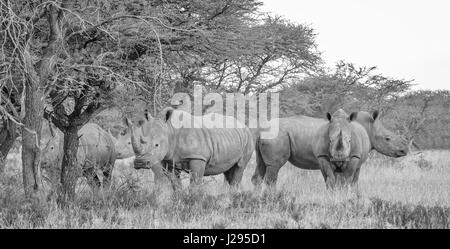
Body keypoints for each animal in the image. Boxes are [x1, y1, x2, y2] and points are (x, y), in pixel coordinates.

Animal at [251, 109, 410, 189]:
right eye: (387, 139)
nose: (404, 151)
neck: (368, 128)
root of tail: (260, 131)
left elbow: (346, 181)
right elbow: (350, 181)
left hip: (267, 139)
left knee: (261, 166)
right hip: (277, 137)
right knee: (274, 168)